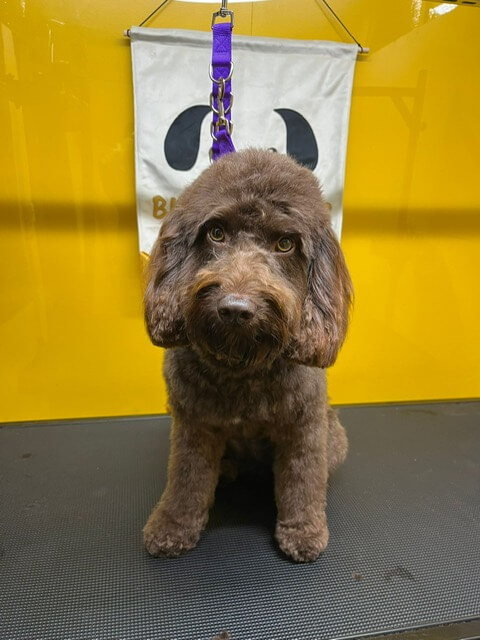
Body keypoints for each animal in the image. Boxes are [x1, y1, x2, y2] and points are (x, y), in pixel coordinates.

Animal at [142, 148, 352, 564]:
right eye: (216, 233)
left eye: (285, 244)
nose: (236, 309)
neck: (242, 364)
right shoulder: (193, 424)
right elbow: (185, 480)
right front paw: (172, 527)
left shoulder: (303, 426)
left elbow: (302, 480)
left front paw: (303, 531)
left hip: (333, 436)